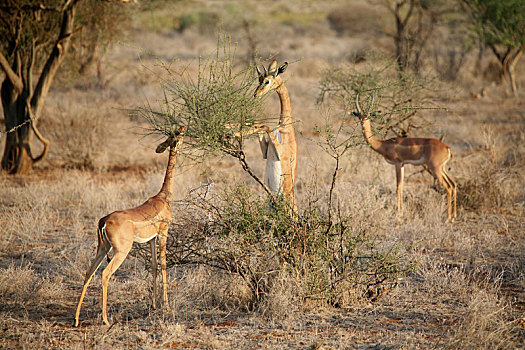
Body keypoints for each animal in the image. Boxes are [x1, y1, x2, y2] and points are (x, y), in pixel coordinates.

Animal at [73, 126, 184, 326]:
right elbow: (164, 265)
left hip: (103, 248)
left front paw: (154, 305)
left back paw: (76, 319)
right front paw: (166, 305)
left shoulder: (151, 239)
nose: (182, 127)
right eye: (176, 135)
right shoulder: (163, 233)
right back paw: (105, 319)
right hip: (121, 251)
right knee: (105, 274)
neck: (163, 198)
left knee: (89, 272)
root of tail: (104, 220)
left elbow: (154, 266)